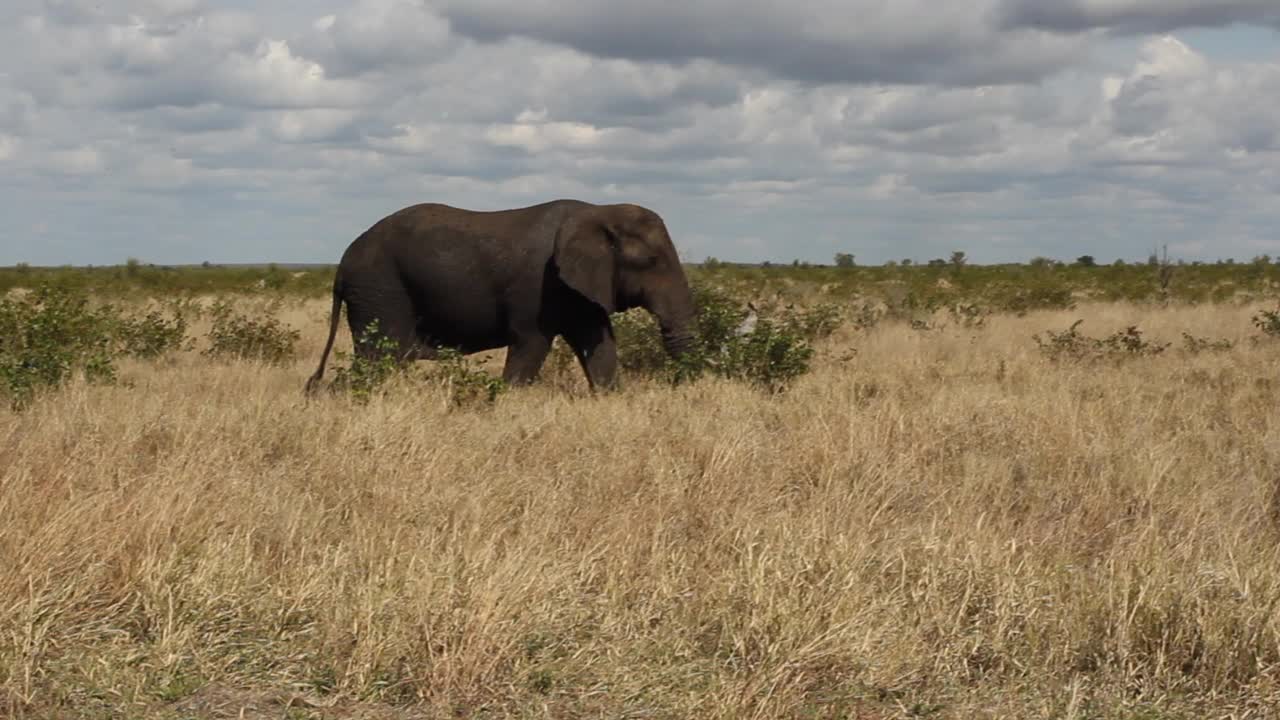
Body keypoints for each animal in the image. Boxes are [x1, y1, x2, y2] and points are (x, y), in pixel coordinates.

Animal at [303, 198, 696, 392]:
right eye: (651, 262)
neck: (599, 212)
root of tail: (341, 264)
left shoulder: (579, 287)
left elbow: (598, 345)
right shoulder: (538, 286)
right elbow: (531, 345)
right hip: (380, 289)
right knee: (377, 360)